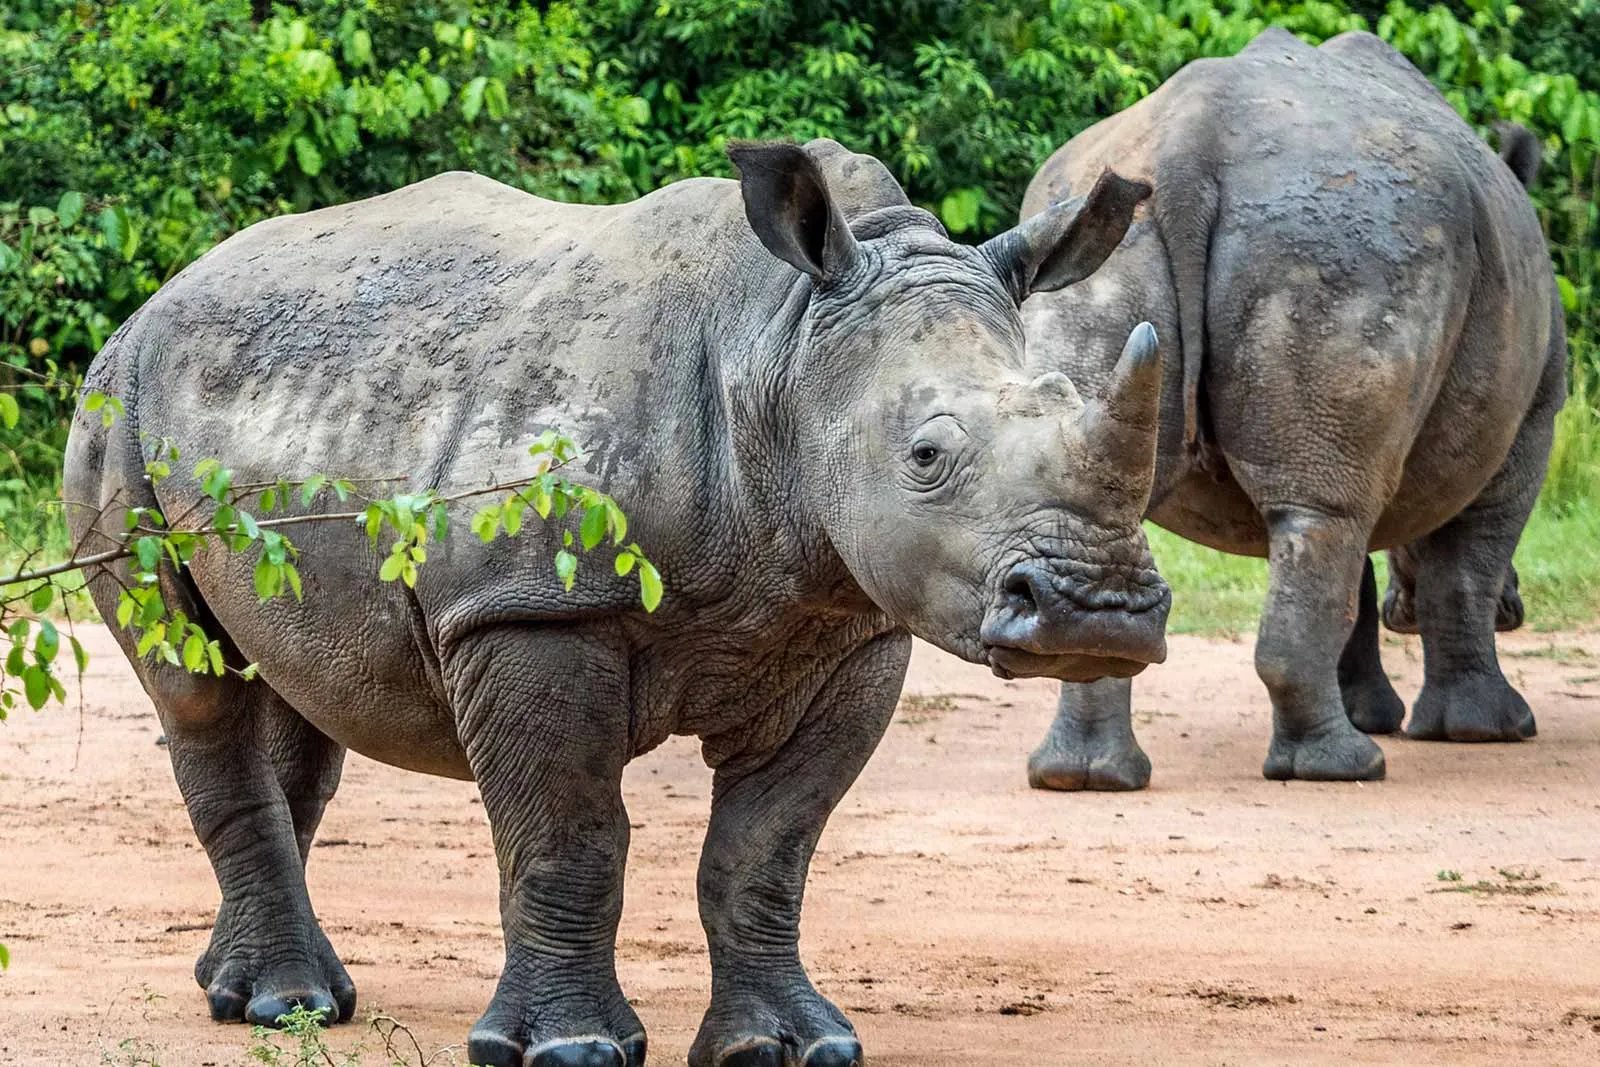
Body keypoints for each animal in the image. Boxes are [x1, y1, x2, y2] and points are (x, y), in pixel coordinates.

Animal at [64, 139, 1171, 1067]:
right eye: (927, 456)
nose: (1098, 611)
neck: (781, 343)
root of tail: (158, 298)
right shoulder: (530, 609)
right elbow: (571, 833)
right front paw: (571, 1049)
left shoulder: (848, 629)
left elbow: (766, 849)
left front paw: (789, 1047)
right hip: (114, 408)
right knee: (196, 686)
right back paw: (282, 1003)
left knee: (301, 687)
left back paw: (258, 993)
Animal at [1018, 29, 1565, 790]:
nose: (1519, 610)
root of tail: (1188, 145)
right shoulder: (1531, 423)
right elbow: (1466, 566)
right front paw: (1487, 730)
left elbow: (1358, 571)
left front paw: (1377, 709)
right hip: (1352, 239)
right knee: (1327, 514)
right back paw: (1345, 769)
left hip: (1105, 236)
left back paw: (1085, 778)